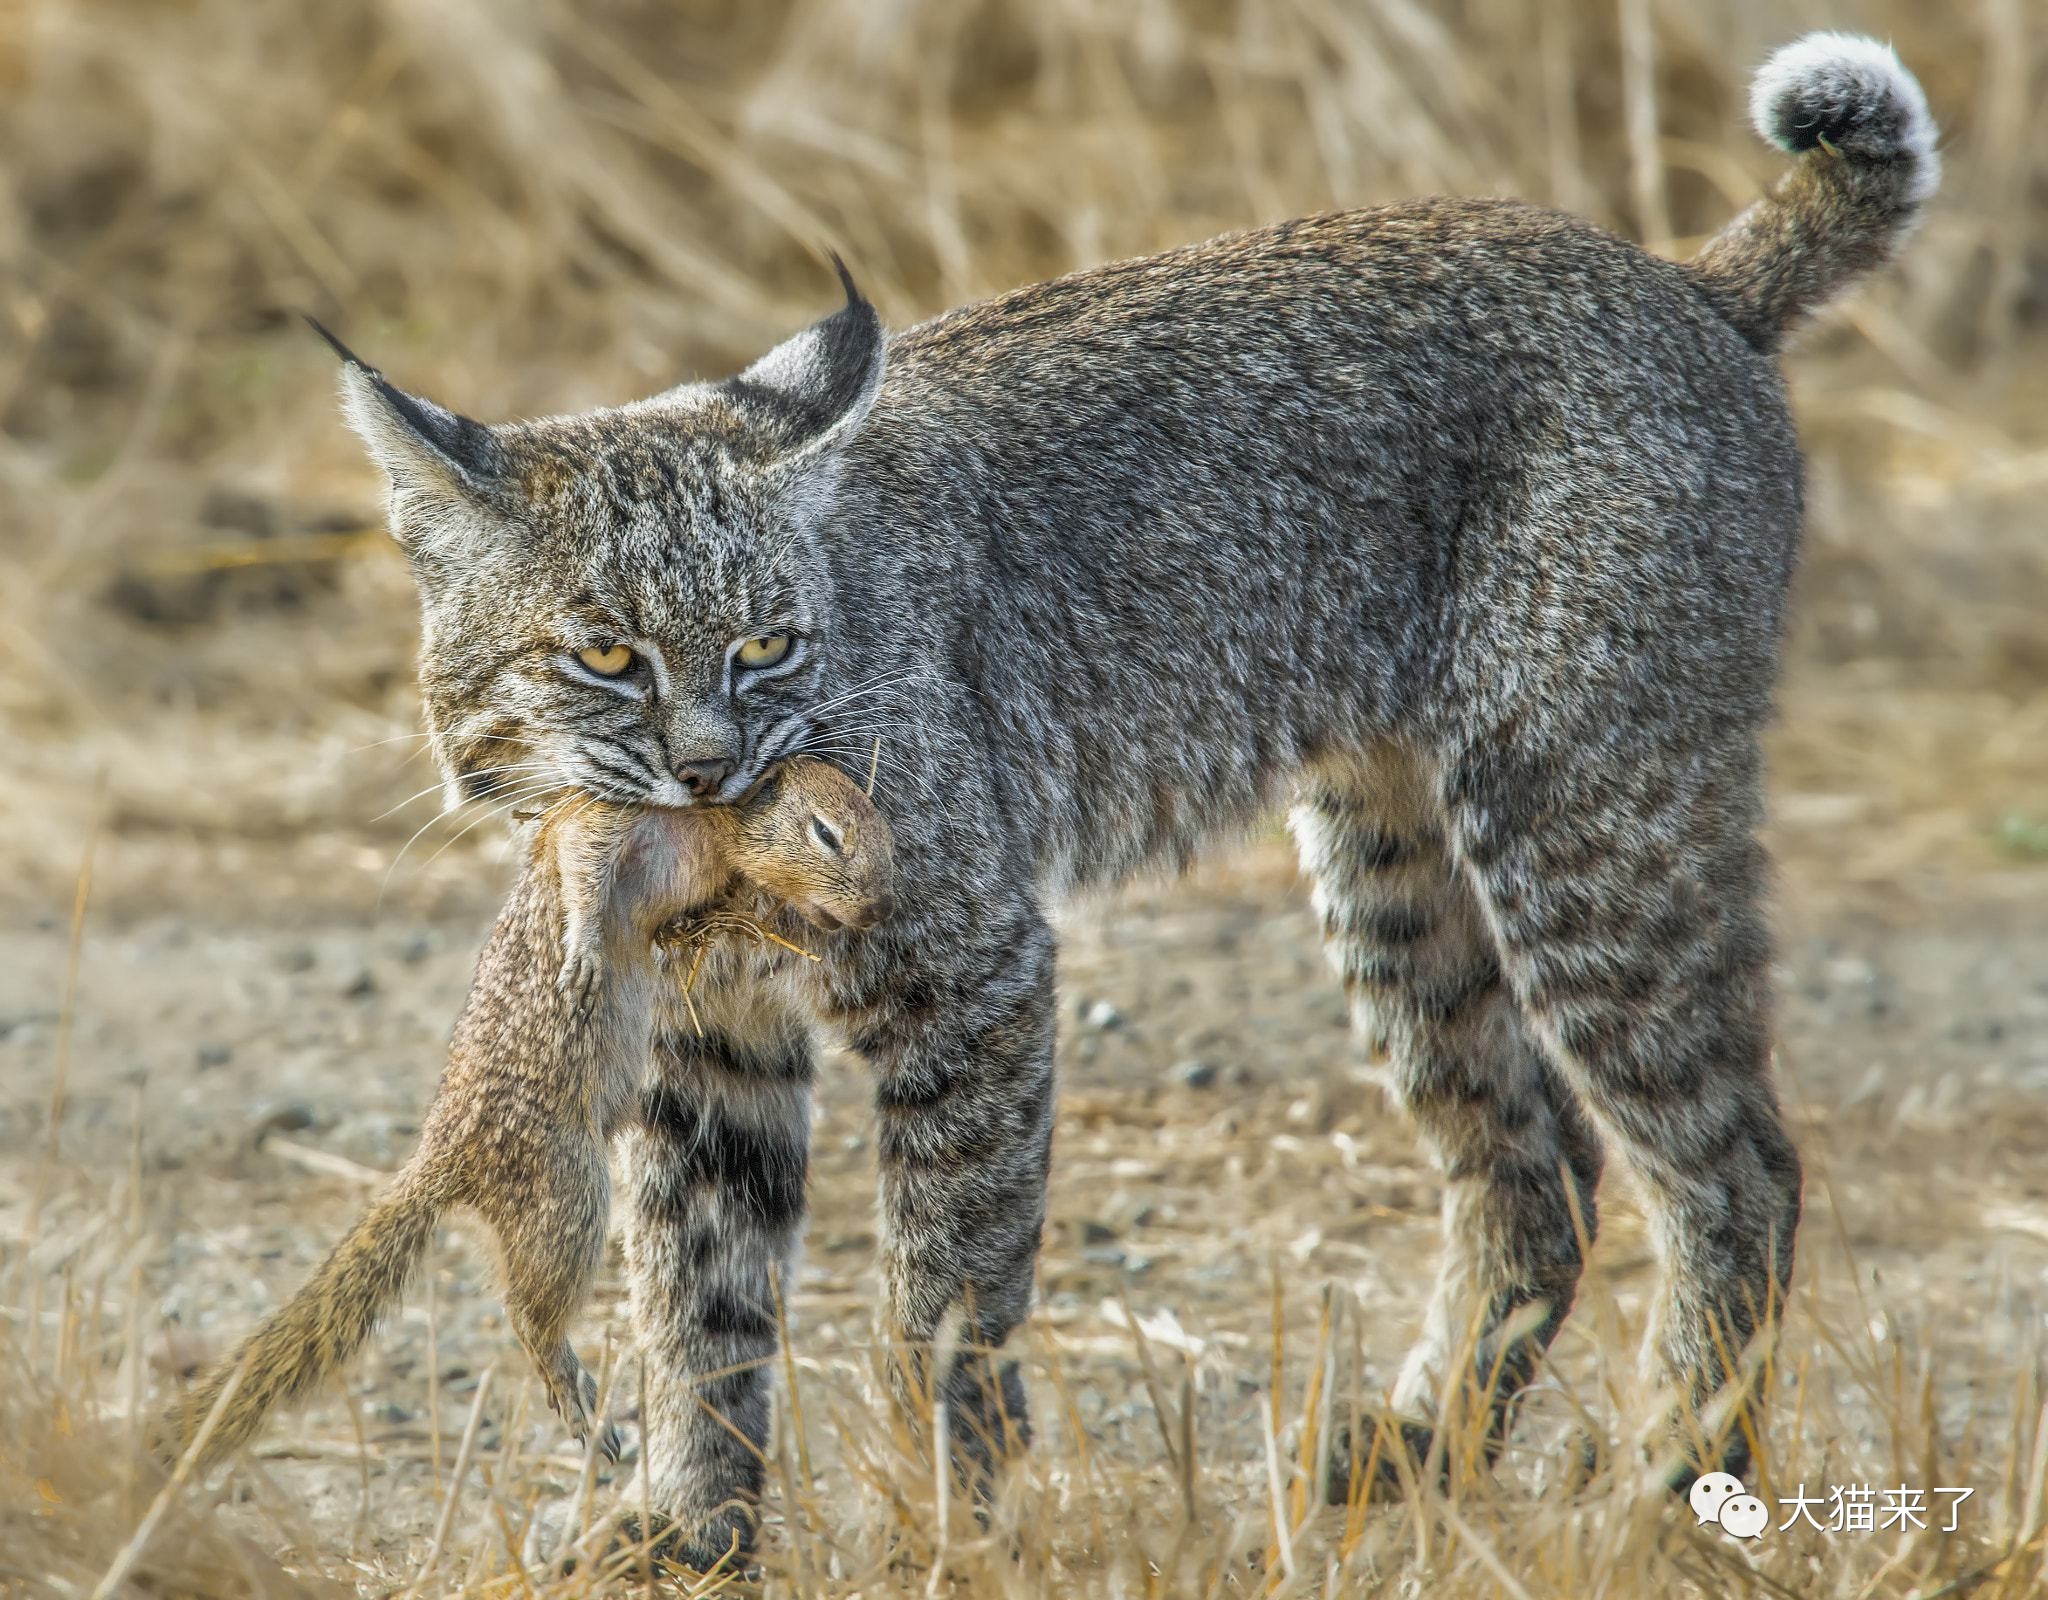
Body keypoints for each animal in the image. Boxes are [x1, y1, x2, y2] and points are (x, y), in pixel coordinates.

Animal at [155, 762, 892, 1475]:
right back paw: (575, 1396)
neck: (714, 831)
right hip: (570, 1193)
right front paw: (587, 952)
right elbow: (581, 864)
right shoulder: (615, 820)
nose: (882, 904)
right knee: (525, 1311)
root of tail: (444, 1152)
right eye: (826, 832)